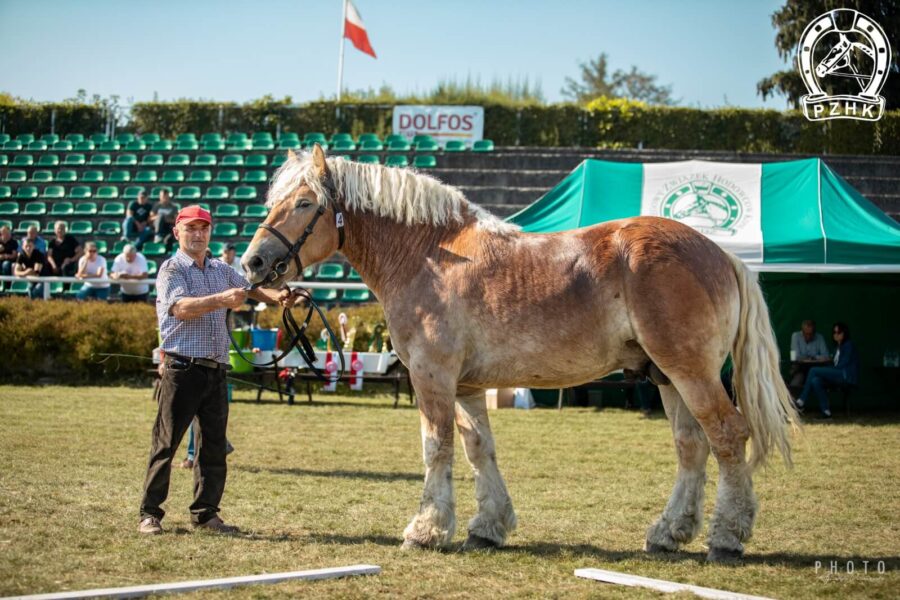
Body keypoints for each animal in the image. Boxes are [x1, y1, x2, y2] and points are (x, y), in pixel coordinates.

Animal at [243, 146, 800, 564]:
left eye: (303, 203)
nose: (253, 263)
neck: (428, 255)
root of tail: (719, 252)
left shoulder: (432, 378)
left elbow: (436, 449)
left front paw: (426, 529)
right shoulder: (467, 387)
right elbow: (478, 450)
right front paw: (487, 527)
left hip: (692, 374)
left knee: (727, 436)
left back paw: (726, 538)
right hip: (667, 378)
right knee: (692, 447)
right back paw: (668, 533)